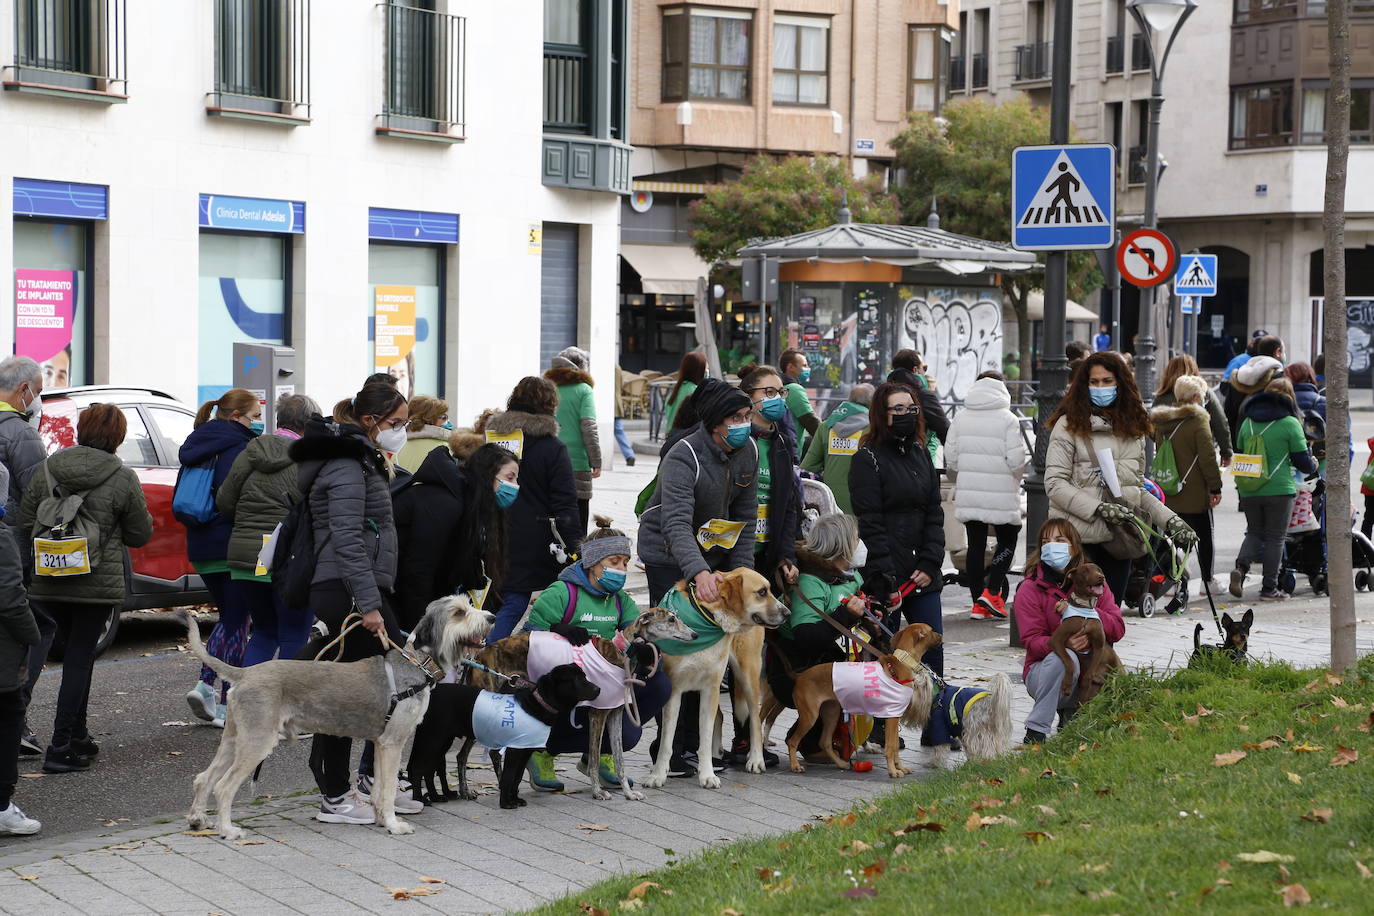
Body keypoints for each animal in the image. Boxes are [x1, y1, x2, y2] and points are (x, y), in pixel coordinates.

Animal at [184, 596, 489, 840]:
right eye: (459, 612)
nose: (491, 618)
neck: (415, 666)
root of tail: (246, 672)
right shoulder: (393, 744)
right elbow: (388, 788)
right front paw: (394, 825)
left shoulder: (381, 744)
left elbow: (379, 790)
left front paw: (382, 820)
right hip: (257, 742)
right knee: (223, 787)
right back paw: (227, 830)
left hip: (235, 739)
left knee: (204, 779)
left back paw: (198, 820)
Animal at [406, 667, 601, 807]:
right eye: (577, 679)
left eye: (584, 676)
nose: (598, 688)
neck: (536, 705)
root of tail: (432, 692)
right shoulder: (514, 751)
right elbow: (508, 776)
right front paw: (506, 803)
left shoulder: (525, 751)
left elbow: (517, 777)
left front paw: (515, 799)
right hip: (433, 739)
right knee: (418, 769)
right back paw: (420, 800)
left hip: (441, 741)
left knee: (429, 769)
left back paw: (436, 797)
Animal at [785, 620, 945, 780]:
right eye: (931, 630)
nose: (941, 636)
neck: (902, 663)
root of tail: (800, 676)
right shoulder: (892, 717)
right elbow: (891, 747)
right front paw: (893, 771)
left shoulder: (896, 716)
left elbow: (895, 747)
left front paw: (900, 767)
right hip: (810, 716)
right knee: (793, 741)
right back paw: (795, 766)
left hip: (831, 713)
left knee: (824, 742)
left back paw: (841, 764)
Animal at [1044, 563, 1121, 708]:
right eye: (1085, 571)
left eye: (1099, 570)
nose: (1101, 577)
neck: (1085, 608)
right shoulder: (1056, 641)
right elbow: (1070, 662)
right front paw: (1067, 686)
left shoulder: (1098, 646)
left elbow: (1088, 677)